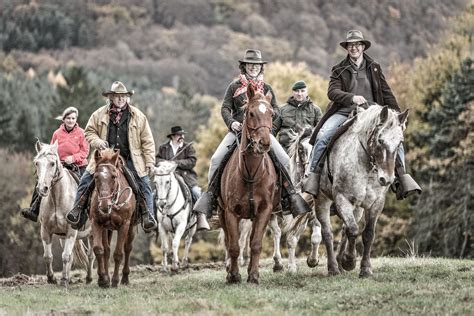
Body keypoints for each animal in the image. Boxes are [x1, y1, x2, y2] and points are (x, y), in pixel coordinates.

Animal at [33, 141, 94, 286]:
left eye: (52, 163)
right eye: (37, 163)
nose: (42, 188)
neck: (57, 199)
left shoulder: (71, 231)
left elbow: (66, 256)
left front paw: (64, 280)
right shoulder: (46, 230)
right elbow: (48, 256)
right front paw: (52, 278)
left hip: (93, 233)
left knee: (91, 255)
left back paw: (89, 278)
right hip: (63, 237)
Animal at [90, 148, 136, 286]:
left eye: (114, 176)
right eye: (96, 176)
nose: (105, 205)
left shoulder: (124, 225)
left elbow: (118, 253)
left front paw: (115, 281)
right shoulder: (97, 223)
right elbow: (99, 249)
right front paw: (103, 279)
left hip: (131, 227)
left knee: (127, 248)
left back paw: (125, 278)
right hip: (107, 229)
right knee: (106, 250)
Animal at [219, 84, 282, 284]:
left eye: (271, 113)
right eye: (251, 113)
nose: (264, 143)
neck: (251, 174)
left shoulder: (264, 210)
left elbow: (255, 243)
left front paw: (253, 275)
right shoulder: (230, 212)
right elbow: (233, 246)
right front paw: (234, 275)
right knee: (228, 241)